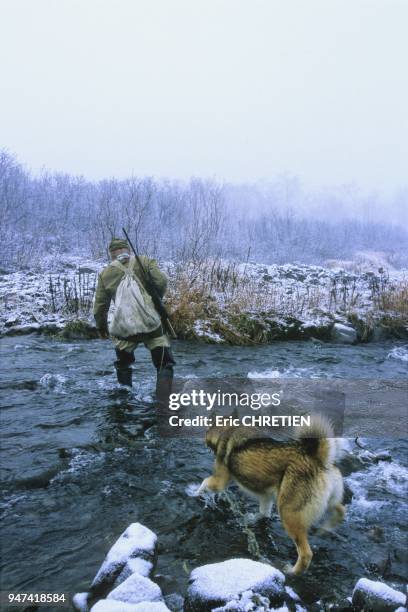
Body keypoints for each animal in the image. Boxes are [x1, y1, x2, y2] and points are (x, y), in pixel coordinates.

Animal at [197, 416, 344, 572]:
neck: (228, 430)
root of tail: (318, 459)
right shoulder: (266, 496)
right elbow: (264, 513)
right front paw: (250, 519)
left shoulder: (219, 481)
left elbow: (204, 483)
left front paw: (195, 492)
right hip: (329, 500)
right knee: (341, 510)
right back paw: (326, 528)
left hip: (288, 513)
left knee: (306, 554)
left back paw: (291, 571)